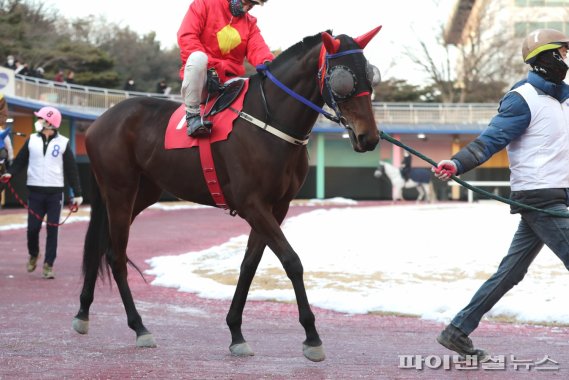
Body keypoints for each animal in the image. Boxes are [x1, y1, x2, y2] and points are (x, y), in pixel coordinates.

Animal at [72, 28, 382, 360]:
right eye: (343, 79)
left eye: (370, 75)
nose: (369, 137)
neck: (268, 122)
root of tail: (99, 122)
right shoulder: (253, 205)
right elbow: (291, 261)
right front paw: (312, 336)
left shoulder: (276, 207)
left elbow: (249, 265)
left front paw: (236, 331)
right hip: (120, 191)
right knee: (116, 256)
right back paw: (139, 327)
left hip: (142, 193)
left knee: (102, 246)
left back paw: (83, 312)